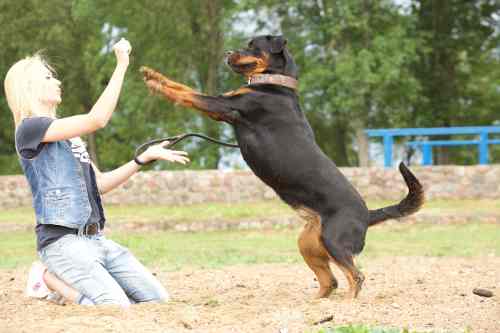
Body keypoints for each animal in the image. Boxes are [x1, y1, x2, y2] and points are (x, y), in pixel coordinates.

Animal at [142, 35, 426, 296]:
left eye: (252, 45)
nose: (228, 52)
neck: (274, 85)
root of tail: (368, 215)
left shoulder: (223, 106)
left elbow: (187, 93)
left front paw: (155, 81)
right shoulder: (223, 104)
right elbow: (180, 86)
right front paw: (151, 74)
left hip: (334, 240)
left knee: (355, 276)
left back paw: (347, 304)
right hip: (308, 243)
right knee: (330, 281)